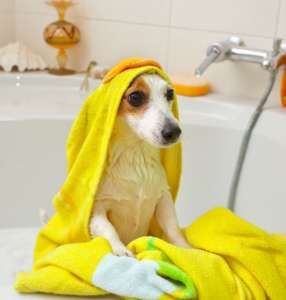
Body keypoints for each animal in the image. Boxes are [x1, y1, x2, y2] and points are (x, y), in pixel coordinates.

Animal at [89, 73, 190, 255]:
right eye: (135, 97)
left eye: (170, 93)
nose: (173, 132)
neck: (136, 157)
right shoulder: (98, 209)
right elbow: (108, 229)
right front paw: (121, 250)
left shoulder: (163, 198)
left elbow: (173, 229)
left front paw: (185, 249)